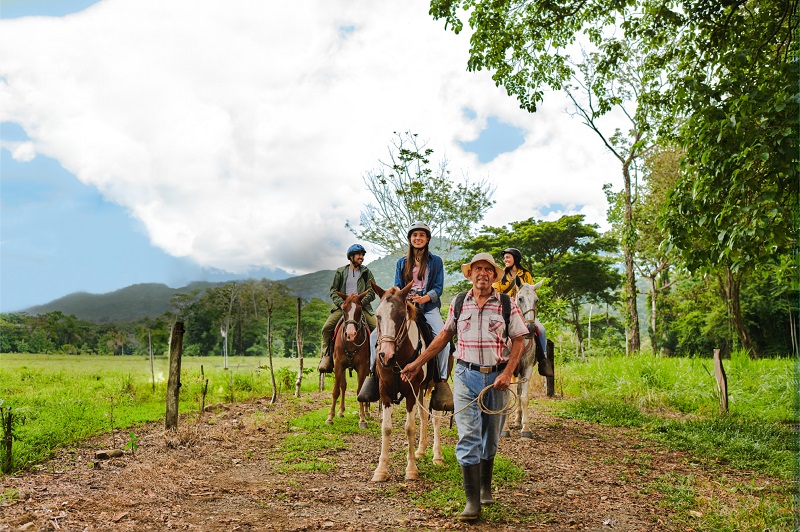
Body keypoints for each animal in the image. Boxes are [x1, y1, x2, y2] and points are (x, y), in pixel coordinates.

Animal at [324, 288, 372, 430]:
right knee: (343, 385)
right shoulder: (338, 364)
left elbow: (360, 391)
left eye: (360, 309)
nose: (350, 334)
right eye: (343, 308)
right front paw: (330, 417)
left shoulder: (363, 366)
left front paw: (362, 419)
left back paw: (366, 412)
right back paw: (340, 411)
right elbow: (336, 390)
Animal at [368, 280, 446, 484]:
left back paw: (437, 456)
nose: (385, 355)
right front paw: (381, 470)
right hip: (421, 389)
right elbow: (386, 428)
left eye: (401, 316)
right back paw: (420, 450)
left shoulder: (411, 392)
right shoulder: (385, 391)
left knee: (435, 418)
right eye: (378, 316)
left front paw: (411, 469)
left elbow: (409, 428)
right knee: (423, 415)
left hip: (431, 386)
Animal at [500, 280, 544, 438]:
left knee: (518, 392)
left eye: (536, 300)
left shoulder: (527, 368)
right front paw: (504, 429)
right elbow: (507, 399)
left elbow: (524, 397)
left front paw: (525, 429)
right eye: (520, 299)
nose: (530, 328)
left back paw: (518, 419)